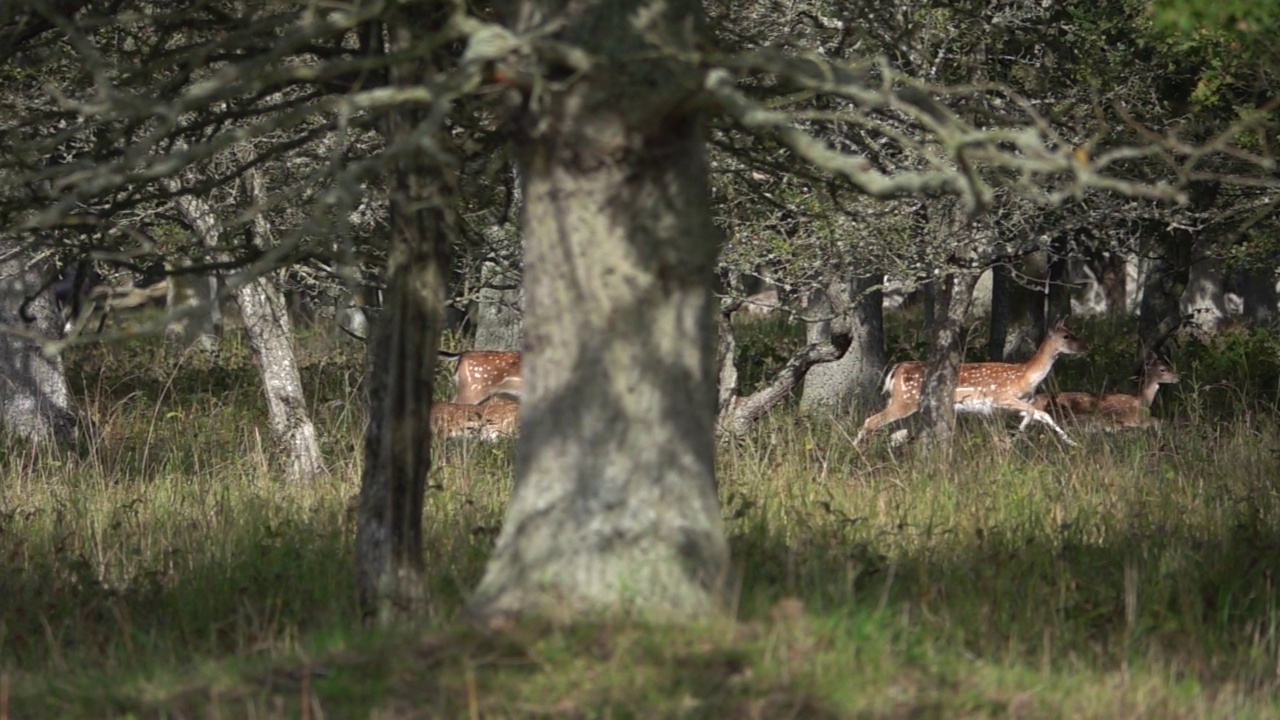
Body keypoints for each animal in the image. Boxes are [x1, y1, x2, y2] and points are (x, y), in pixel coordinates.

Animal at [849, 317, 1090, 445]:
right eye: (1066, 336)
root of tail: (897, 369)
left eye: (1073, 331)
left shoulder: (1017, 403)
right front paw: (1014, 437)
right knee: (871, 421)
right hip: (905, 401)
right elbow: (1033, 412)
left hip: (899, 401)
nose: (1086, 346)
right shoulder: (1000, 397)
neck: (1025, 375)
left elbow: (1043, 414)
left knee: (883, 427)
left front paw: (1072, 442)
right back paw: (855, 450)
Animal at [1029, 353, 1177, 425]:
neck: (1143, 400)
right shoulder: (1137, 417)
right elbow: (1157, 420)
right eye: (1163, 369)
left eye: (1168, 365)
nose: (1178, 377)